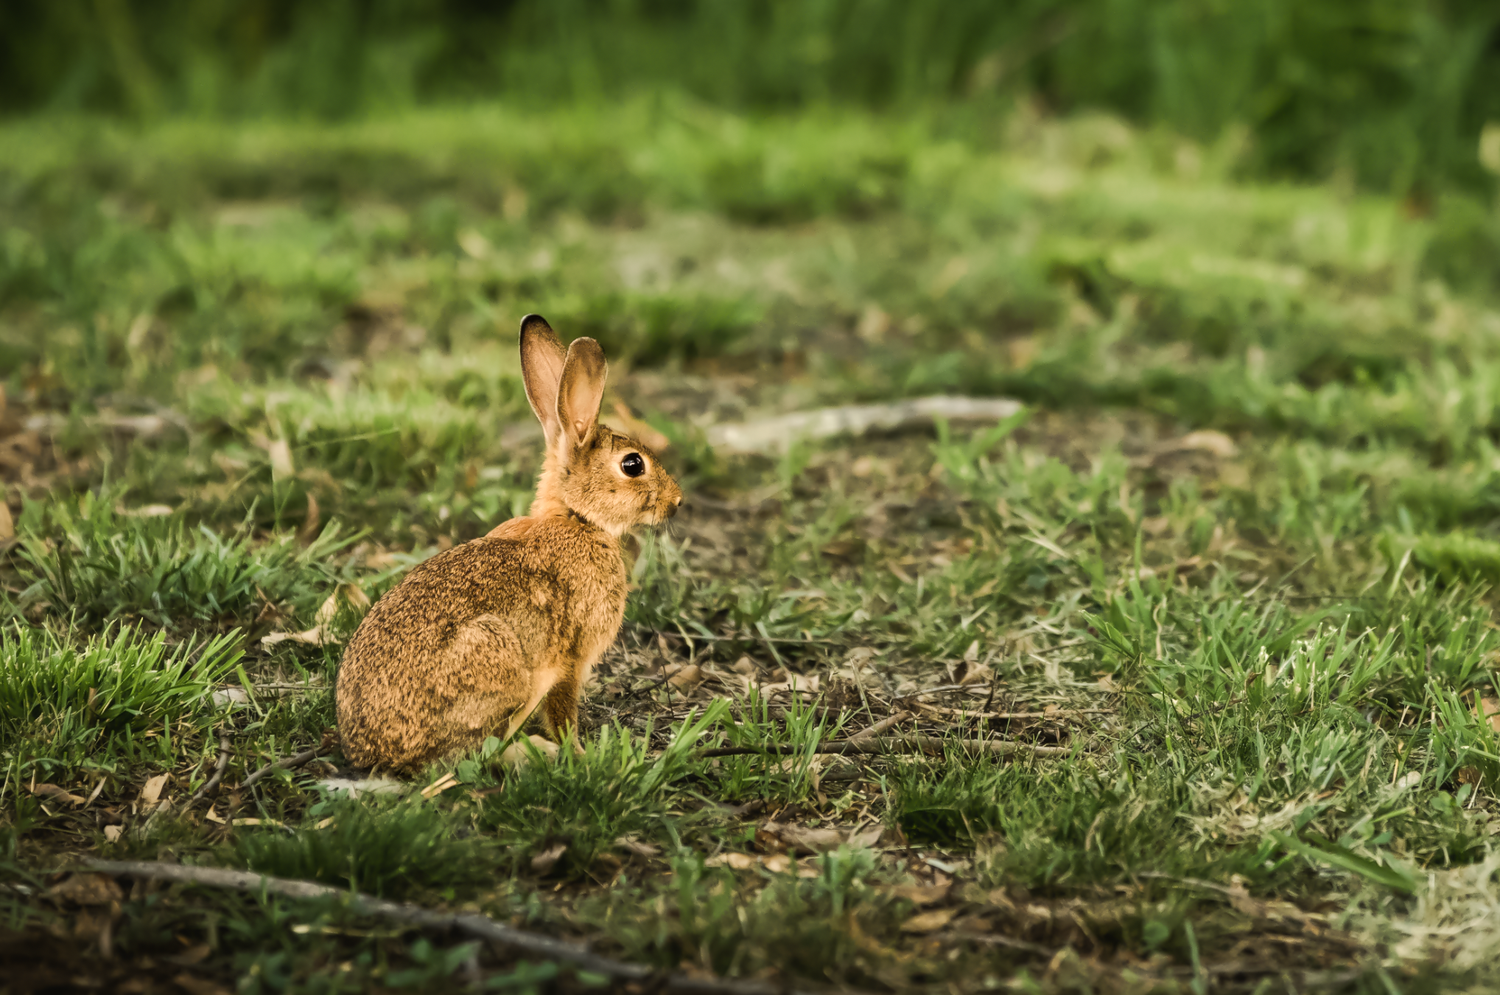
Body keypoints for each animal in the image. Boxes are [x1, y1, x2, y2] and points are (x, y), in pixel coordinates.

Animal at [335, 314, 683, 773]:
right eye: (632, 464)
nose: (677, 501)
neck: (576, 517)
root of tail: (374, 751)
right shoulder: (570, 660)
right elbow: (563, 713)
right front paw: (580, 754)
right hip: (498, 662)